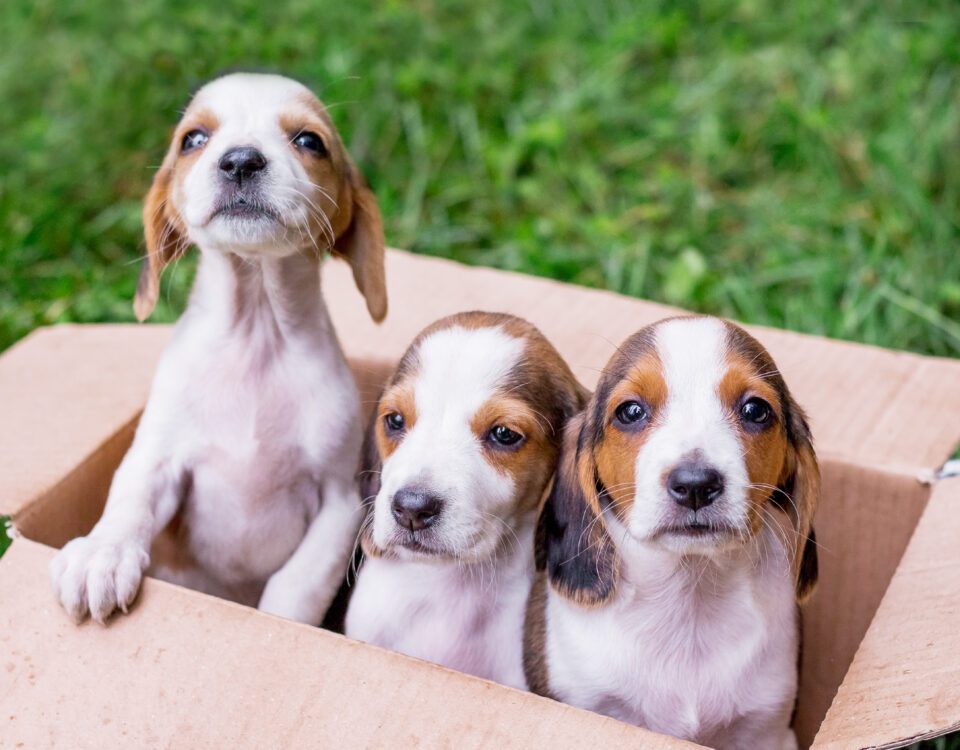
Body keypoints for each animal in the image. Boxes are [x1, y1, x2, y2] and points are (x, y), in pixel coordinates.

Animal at [49, 73, 386, 628]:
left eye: (309, 140)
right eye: (194, 139)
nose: (241, 160)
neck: (257, 335)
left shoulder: (339, 503)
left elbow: (294, 587)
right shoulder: (156, 461)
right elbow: (128, 504)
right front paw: (103, 554)